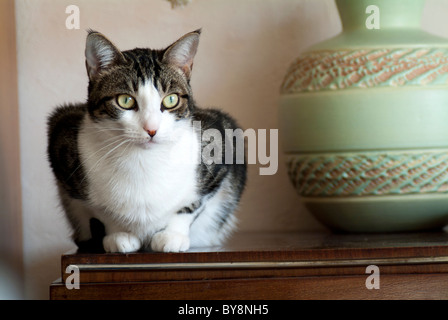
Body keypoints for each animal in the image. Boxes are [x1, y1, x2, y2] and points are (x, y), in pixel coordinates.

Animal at [47, 31, 247, 254]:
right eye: (125, 100)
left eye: (171, 100)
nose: (151, 129)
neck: (144, 159)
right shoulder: (62, 139)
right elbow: (100, 210)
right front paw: (119, 234)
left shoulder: (223, 140)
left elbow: (192, 205)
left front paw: (172, 235)